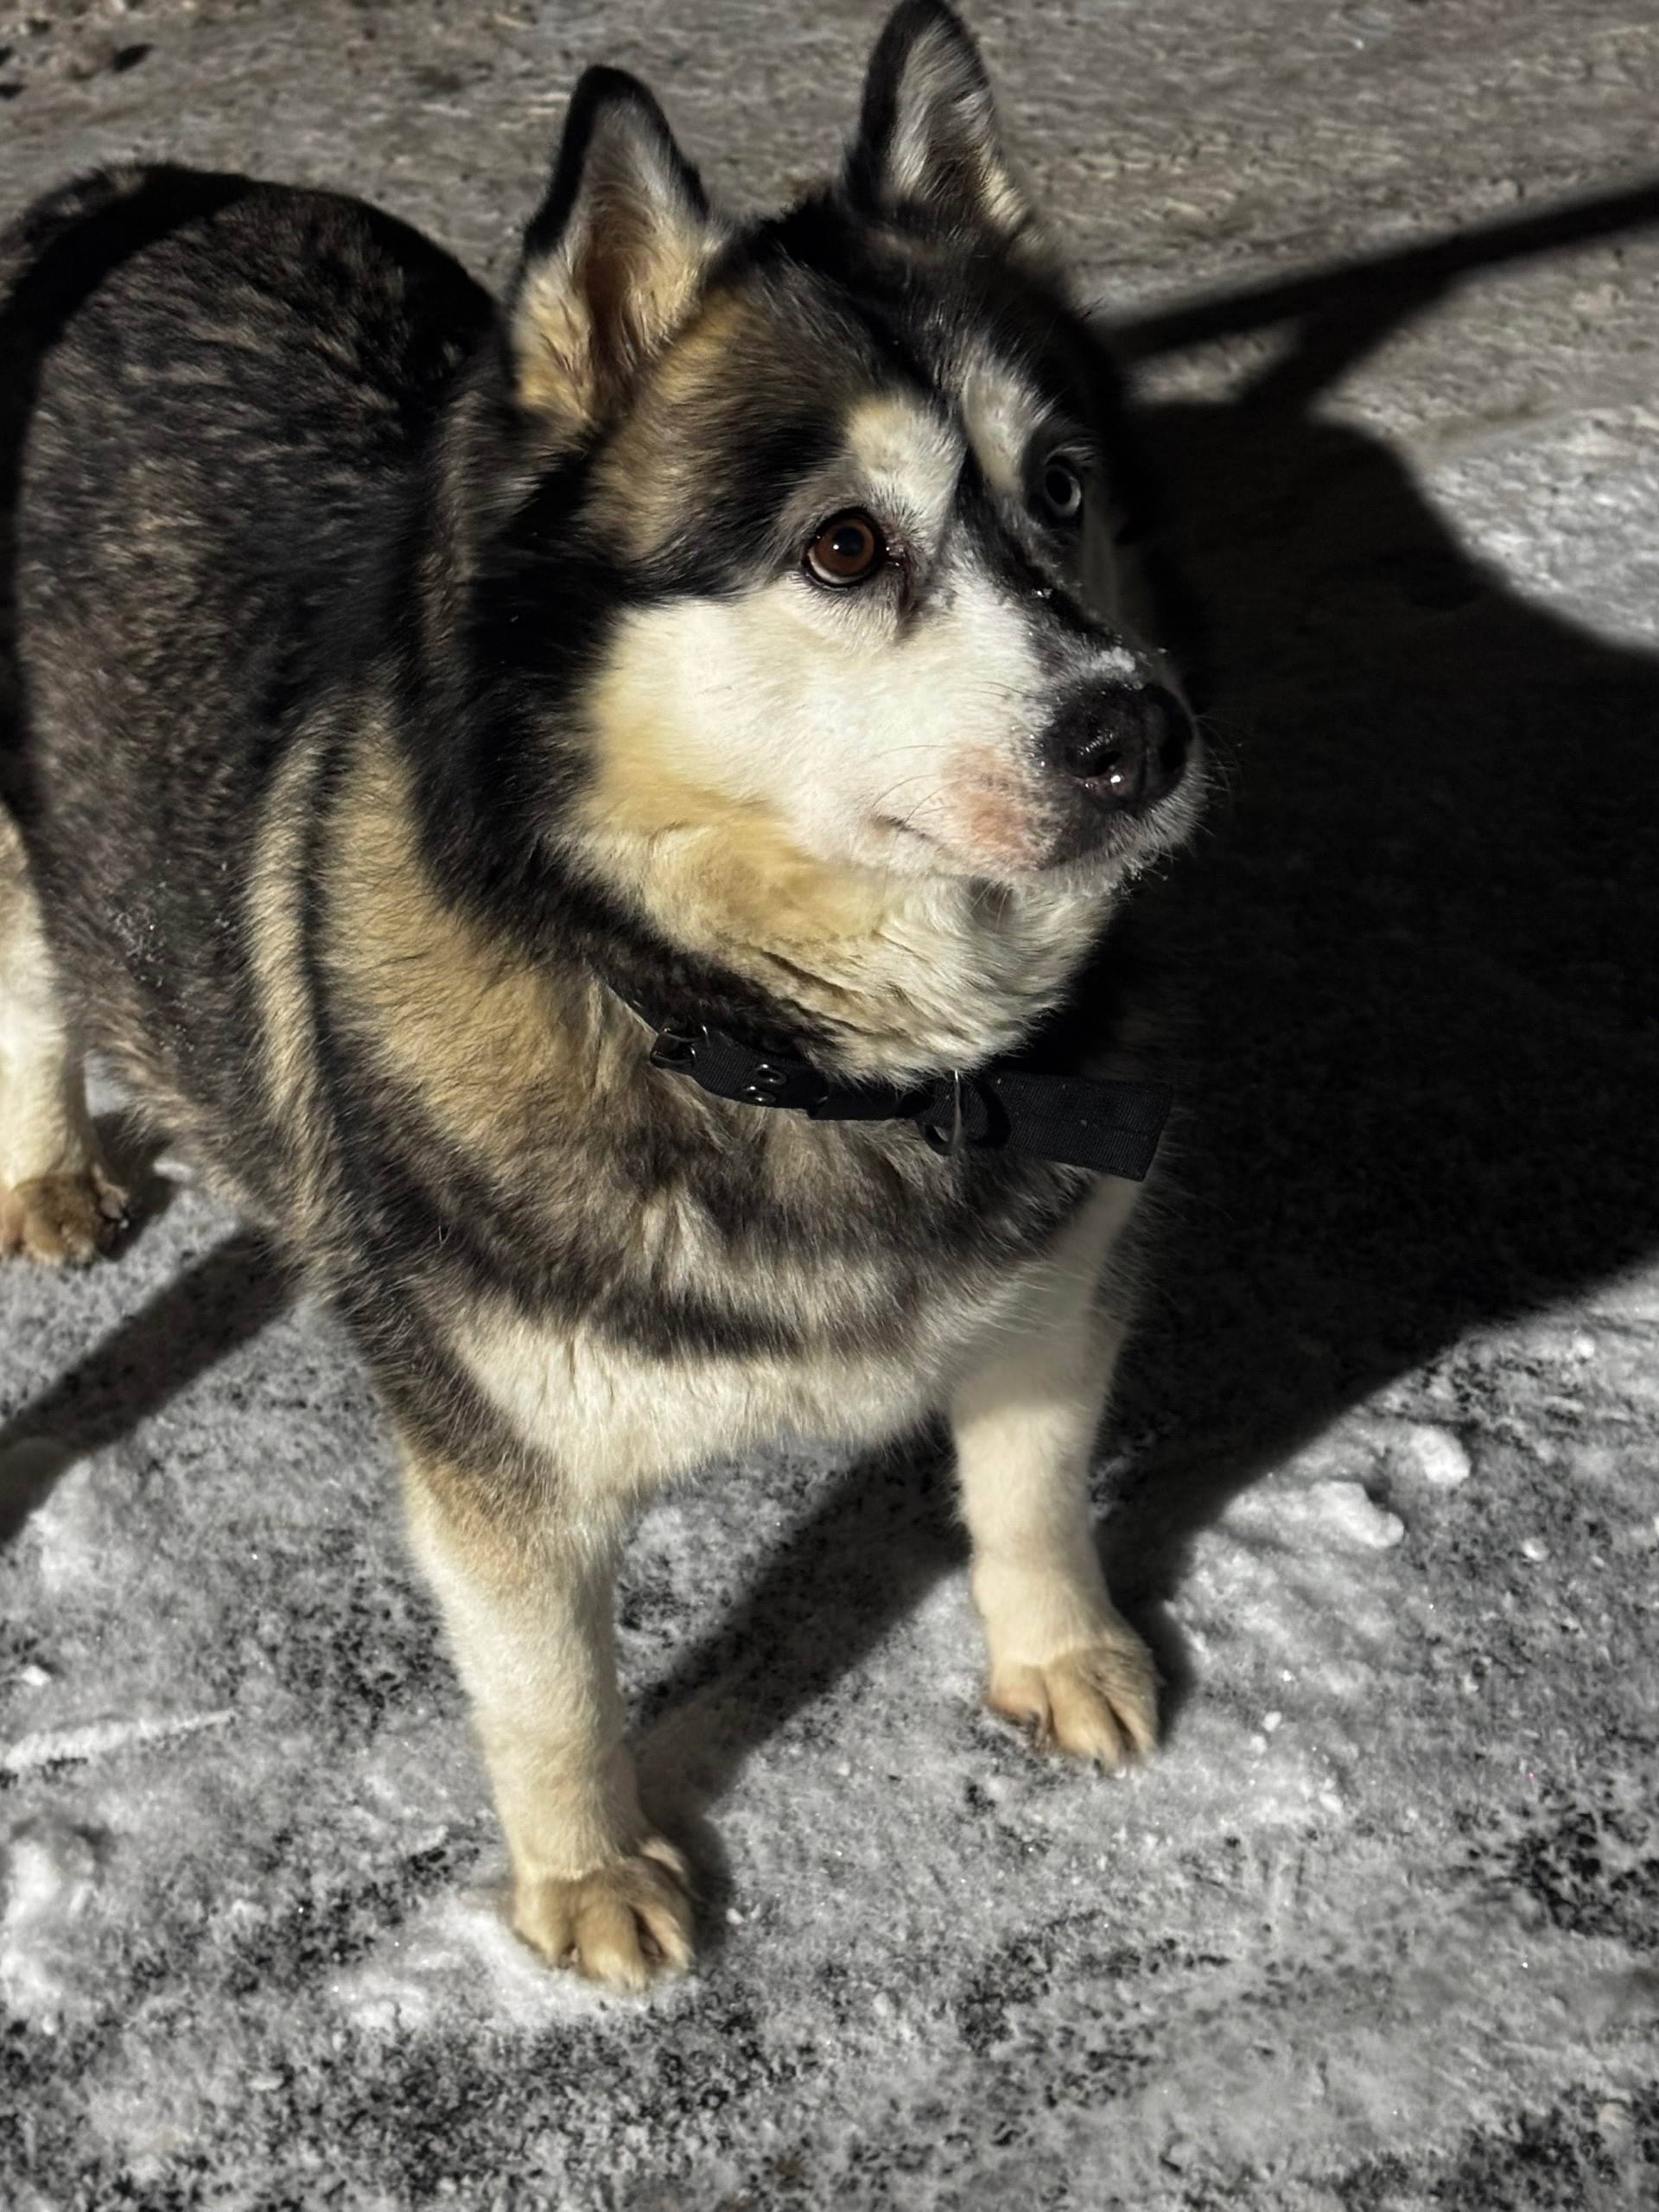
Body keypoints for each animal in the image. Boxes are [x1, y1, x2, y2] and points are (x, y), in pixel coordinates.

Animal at [0, 0, 1202, 1988]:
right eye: (845, 545)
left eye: (1066, 487)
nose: (1141, 736)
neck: (778, 1044)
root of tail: (138, 185)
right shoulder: (503, 1456)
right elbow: (548, 1676)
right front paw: (584, 1871)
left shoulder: (1055, 1273)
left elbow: (1031, 1480)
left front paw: (1061, 1648)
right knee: (33, 968)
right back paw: (48, 1163)